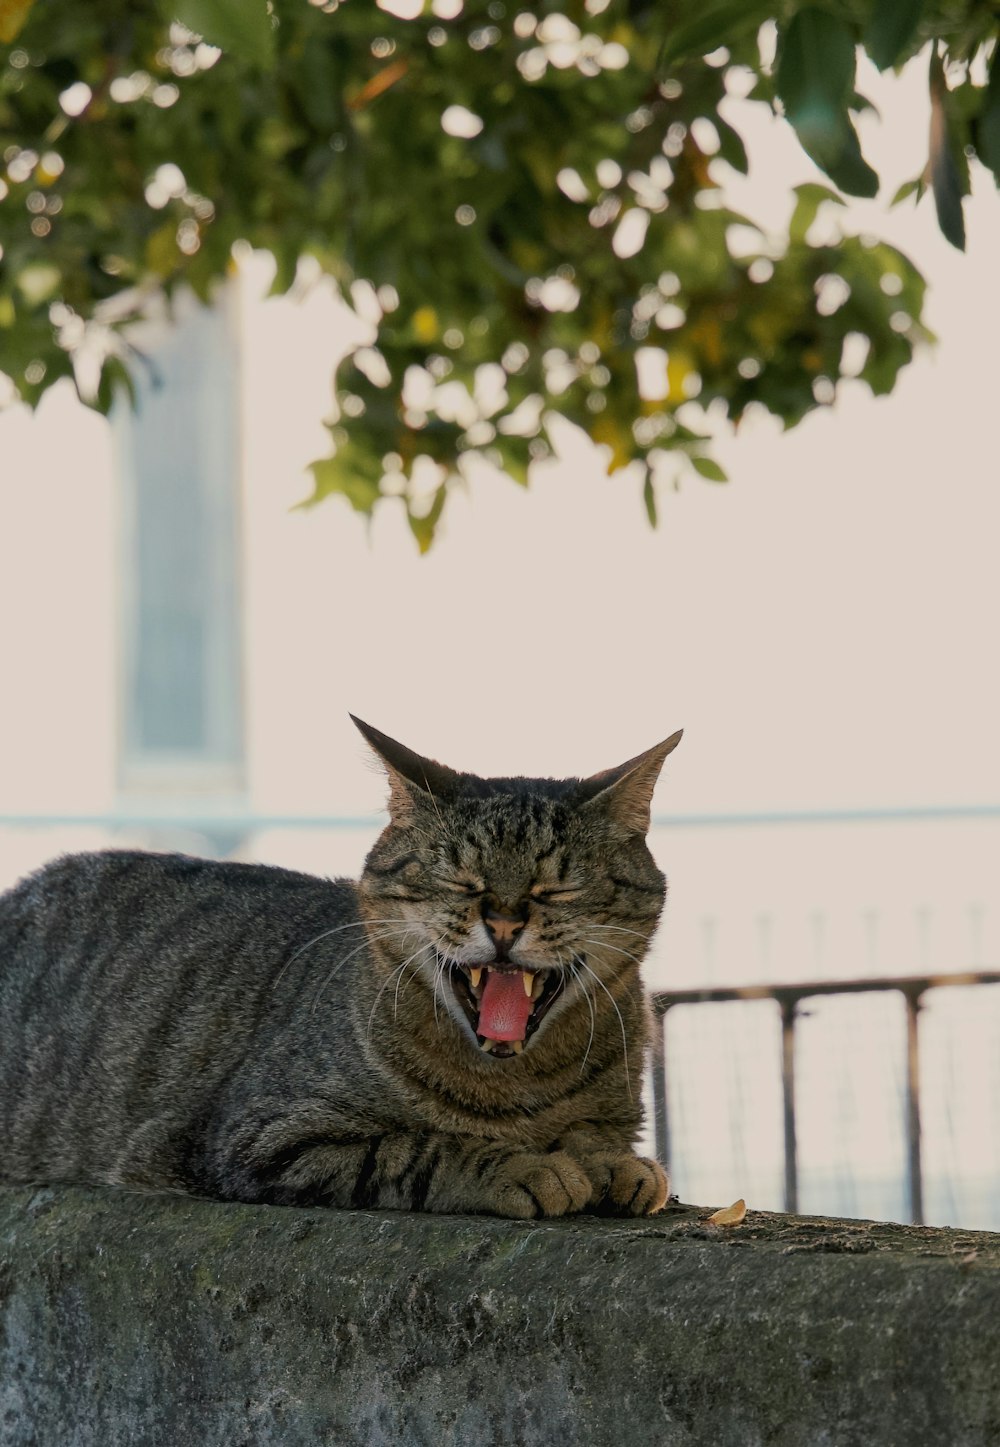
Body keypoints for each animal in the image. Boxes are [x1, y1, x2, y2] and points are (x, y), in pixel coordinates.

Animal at [0, 717, 680, 1215]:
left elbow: (597, 1135)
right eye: (460, 880)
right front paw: (526, 1165)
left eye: (557, 889)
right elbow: (424, 1149)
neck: (517, 1086)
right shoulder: (265, 1136)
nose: (506, 922)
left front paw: (612, 1163)